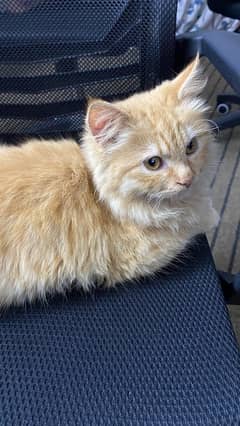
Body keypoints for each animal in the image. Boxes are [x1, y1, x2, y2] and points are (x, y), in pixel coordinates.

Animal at [0, 55, 218, 306]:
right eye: (153, 163)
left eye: (191, 147)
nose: (187, 179)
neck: (99, 195)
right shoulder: (141, 256)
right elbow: (195, 223)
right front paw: (211, 215)